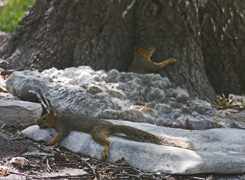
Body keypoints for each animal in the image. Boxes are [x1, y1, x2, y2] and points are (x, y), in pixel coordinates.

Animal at [37, 109, 191, 160]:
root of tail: (110, 126)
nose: (37, 121)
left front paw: (50, 142)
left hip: (97, 133)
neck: (57, 119)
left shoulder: (63, 126)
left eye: (44, 118)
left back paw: (105, 151)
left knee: (108, 142)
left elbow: (60, 136)